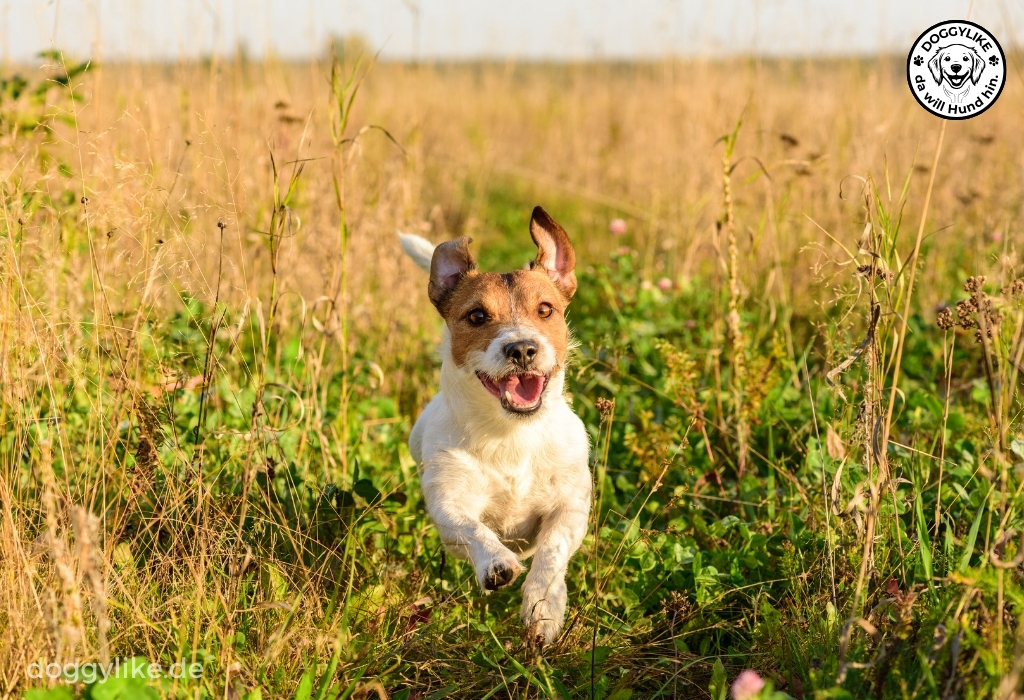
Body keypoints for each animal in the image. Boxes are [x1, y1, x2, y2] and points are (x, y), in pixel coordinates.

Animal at [399, 206, 593, 646]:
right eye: (476, 316)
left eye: (545, 310)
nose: (521, 349)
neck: (511, 435)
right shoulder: (448, 503)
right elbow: (472, 528)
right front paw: (496, 563)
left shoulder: (572, 506)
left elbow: (551, 554)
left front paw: (543, 607)